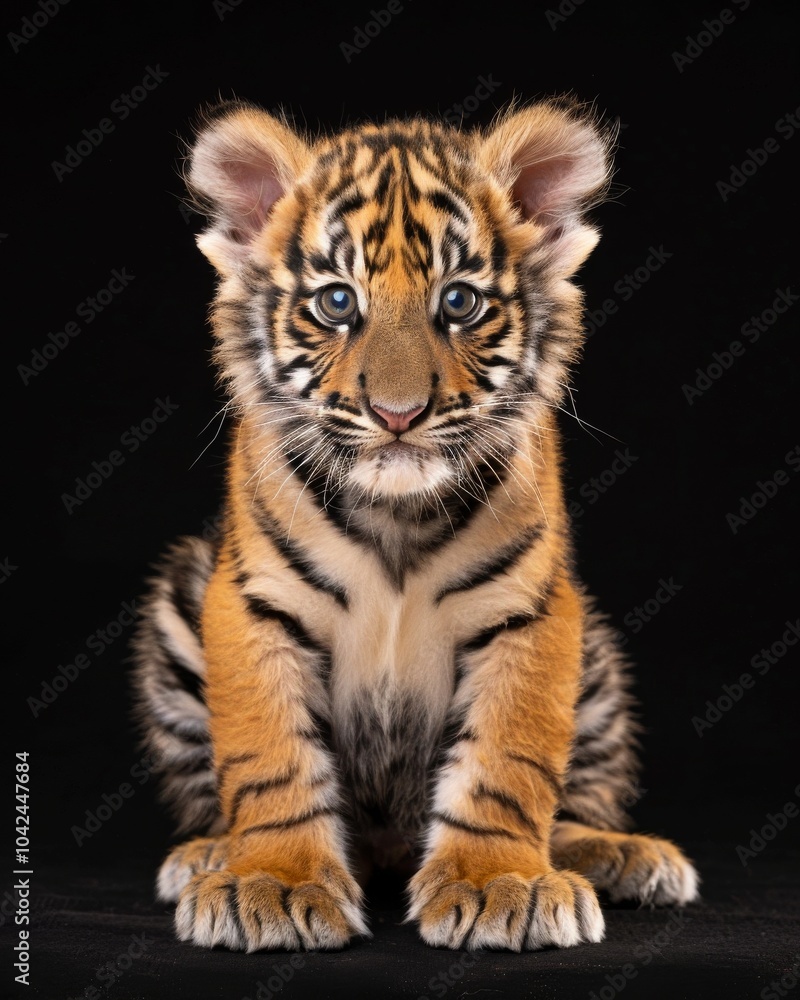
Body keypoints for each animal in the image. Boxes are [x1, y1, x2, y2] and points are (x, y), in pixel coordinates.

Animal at [131, 96, 699, 953]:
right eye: (336, 303)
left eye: (458, 303)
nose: (397, 414)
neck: (395, 512)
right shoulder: (253, 603)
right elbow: (272, 758)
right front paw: (275, 882)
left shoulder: (529, 612)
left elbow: (507, 766)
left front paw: (501, 883)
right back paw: (207, 855)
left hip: (595, 656)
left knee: (569, 804)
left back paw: (622, 854)